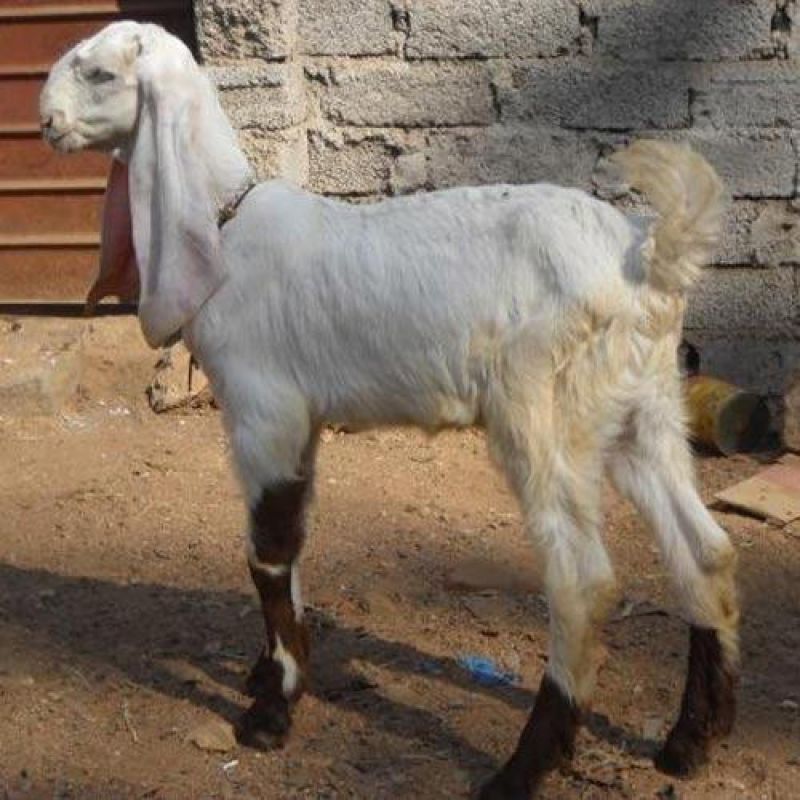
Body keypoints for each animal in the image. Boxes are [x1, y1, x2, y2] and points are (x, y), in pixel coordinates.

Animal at [40, 22, 738, 799]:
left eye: (101, 74)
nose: (45, 122)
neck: (227, 228)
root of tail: (646, 257)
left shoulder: (263, 411)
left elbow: (267, 553)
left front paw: (272, 712)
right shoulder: (302, 422)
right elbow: (293, 540)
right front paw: (268, 672)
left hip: (544, 410)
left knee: (582, 583)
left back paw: (522, 768)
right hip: (644, 411)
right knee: (704, 551)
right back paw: (692, 739)